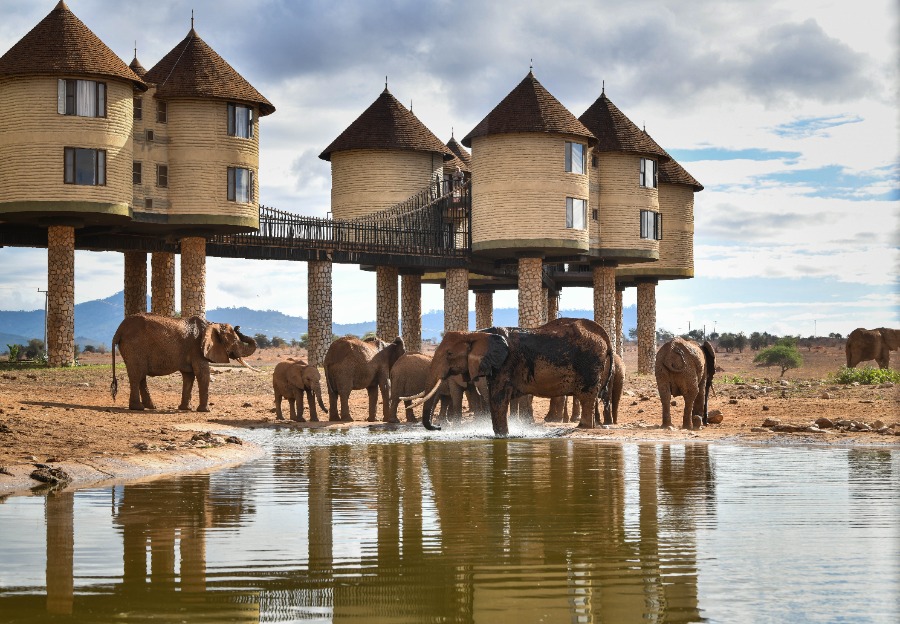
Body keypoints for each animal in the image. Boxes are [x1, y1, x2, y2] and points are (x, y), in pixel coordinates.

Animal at [110, 314, 256, 412]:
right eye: (235, 341)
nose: (238, 327)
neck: (212, 324)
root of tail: (118, 330)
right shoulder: (197, 349)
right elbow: (203, 374)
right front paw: (205, 411)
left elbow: (189, 376)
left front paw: (185, 408)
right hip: (134, 347)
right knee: (137, 375)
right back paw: (138, 408)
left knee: (141, 376)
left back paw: (151, 407)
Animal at [406, 316, 612, 434]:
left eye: (449, 354)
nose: (439, 427)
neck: (476, 334)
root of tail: (605, 337)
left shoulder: (505, 364)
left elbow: (497, 399)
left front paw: (502, 436)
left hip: (590, 363)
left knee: (587, 397)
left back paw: (583, 428)